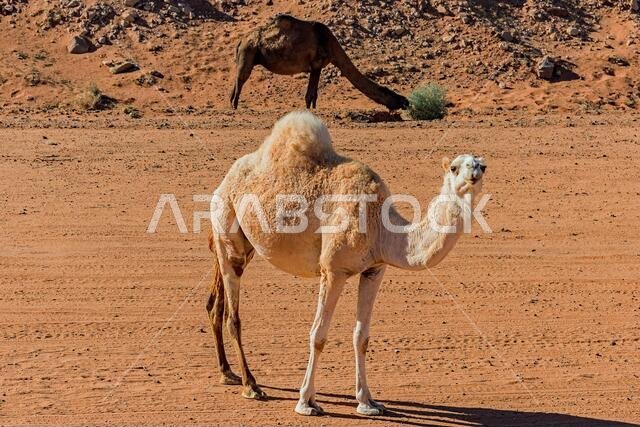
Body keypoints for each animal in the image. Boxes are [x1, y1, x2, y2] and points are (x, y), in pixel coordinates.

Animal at [206, 111, 486, 416]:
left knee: (217, 303)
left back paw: (228, 373)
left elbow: (361, 336)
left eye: (482, 164)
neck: (381, 226)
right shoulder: (333, 270)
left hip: (243, 245)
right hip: (227, 225)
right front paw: (306, 402)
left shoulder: (375, 269)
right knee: (233, 313)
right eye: (454, 167)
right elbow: (318, 334)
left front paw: (367, 402)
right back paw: (251, 385)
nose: (475, 172)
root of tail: (225, 180)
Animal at [230, 14, 409, 111]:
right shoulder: (317, 63)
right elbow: (311, 95)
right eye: (391, 94)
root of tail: (240, 40)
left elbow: (312, 94)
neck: (332, 46)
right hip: (248, 51)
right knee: (241, 80)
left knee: (236, 82)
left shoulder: (316, 66)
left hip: (244, 54)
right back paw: (235, 107)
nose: (405, 102)